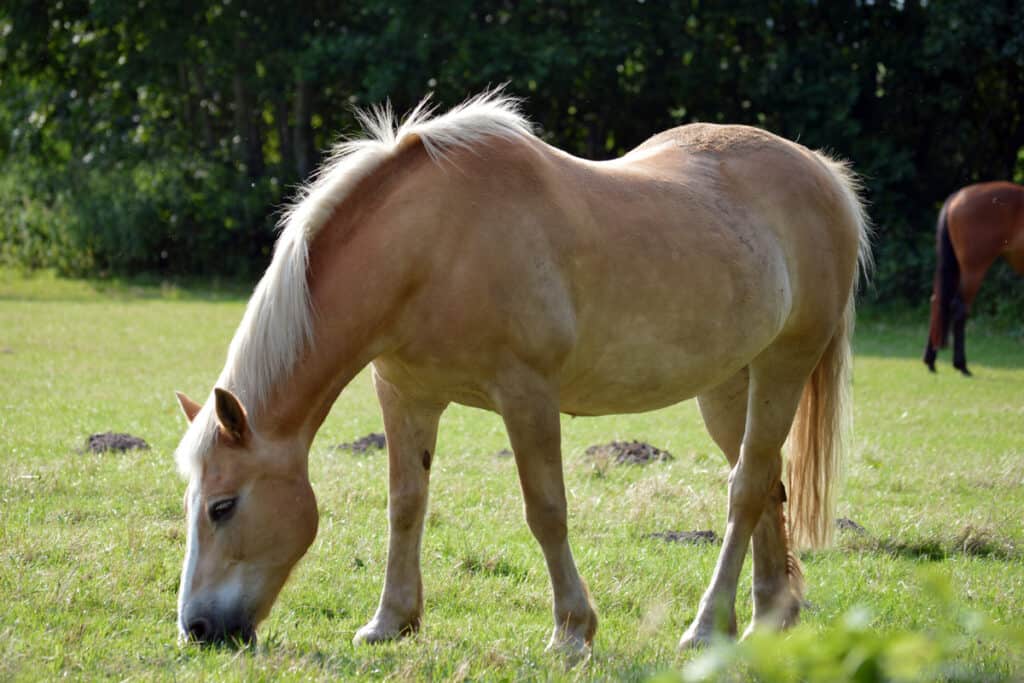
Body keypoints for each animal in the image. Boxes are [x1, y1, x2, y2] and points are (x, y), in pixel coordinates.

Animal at [171, 90, 870, 655]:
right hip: (729, 384)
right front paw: (391, 621)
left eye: (222, 507)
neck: (432, 245)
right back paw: (768, 619)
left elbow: (546, 510)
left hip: (784, 365)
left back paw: (705, 627)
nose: (198, 630)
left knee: (746, 488)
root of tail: (821, 172)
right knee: (765, 483)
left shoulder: (527, 395)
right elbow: (406, 503)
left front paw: (572, 631)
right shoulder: (405, 394)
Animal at [923, 181, 1024, 375]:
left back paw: (931, 360)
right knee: (959, 308)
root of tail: (957, 196)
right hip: (974, 268)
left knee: (938, 301)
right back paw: (961, 365)